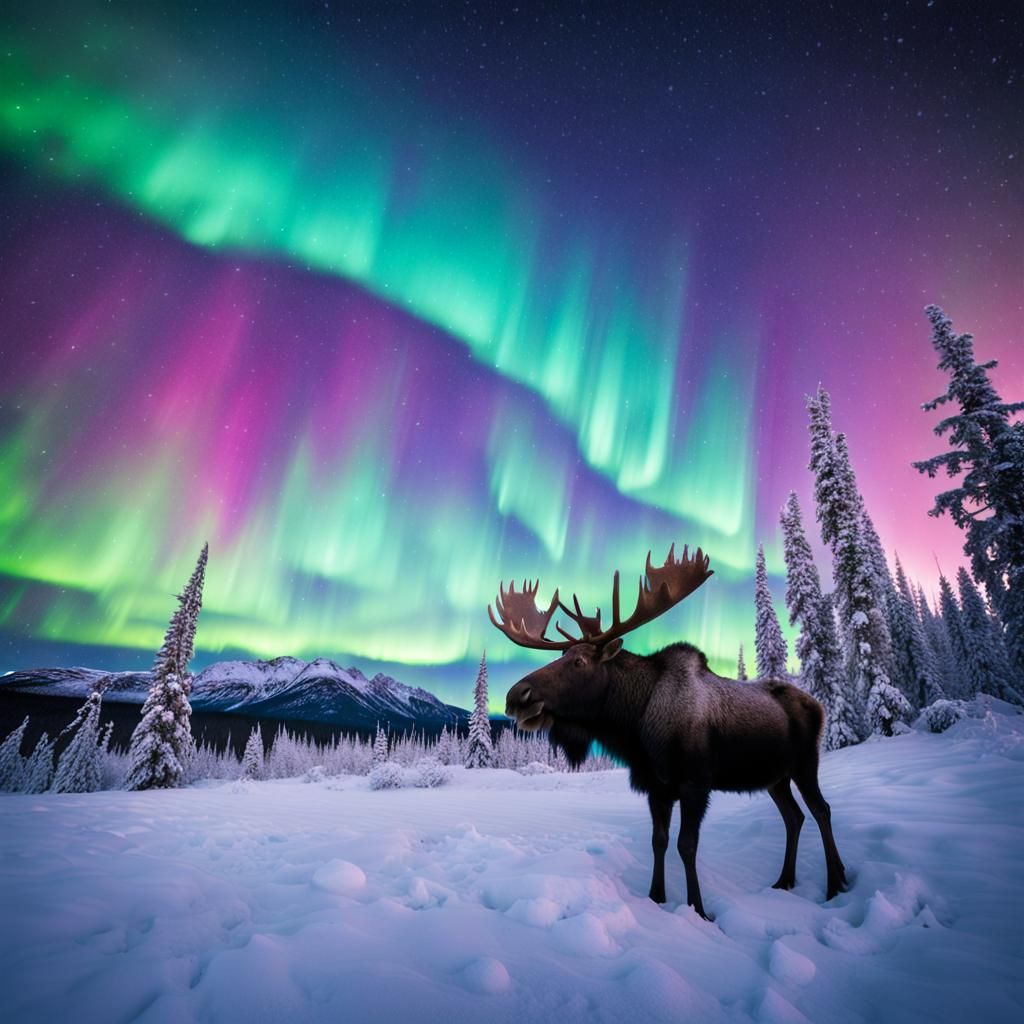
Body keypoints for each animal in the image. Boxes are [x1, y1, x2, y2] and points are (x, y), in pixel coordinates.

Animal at [489, 544, 847, 920]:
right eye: (561, 655)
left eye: (579, 662)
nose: (516, 696)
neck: (636, 730)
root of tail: (819, 705)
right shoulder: (656, 788)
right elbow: (658, 842)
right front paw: (656, 898)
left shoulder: (695, 784)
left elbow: (686, 846)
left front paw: (699, 910)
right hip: (775, 777)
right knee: (794, 817)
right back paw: (784, 880)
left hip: (805, 763)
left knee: (821, 810)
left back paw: (835, 882)